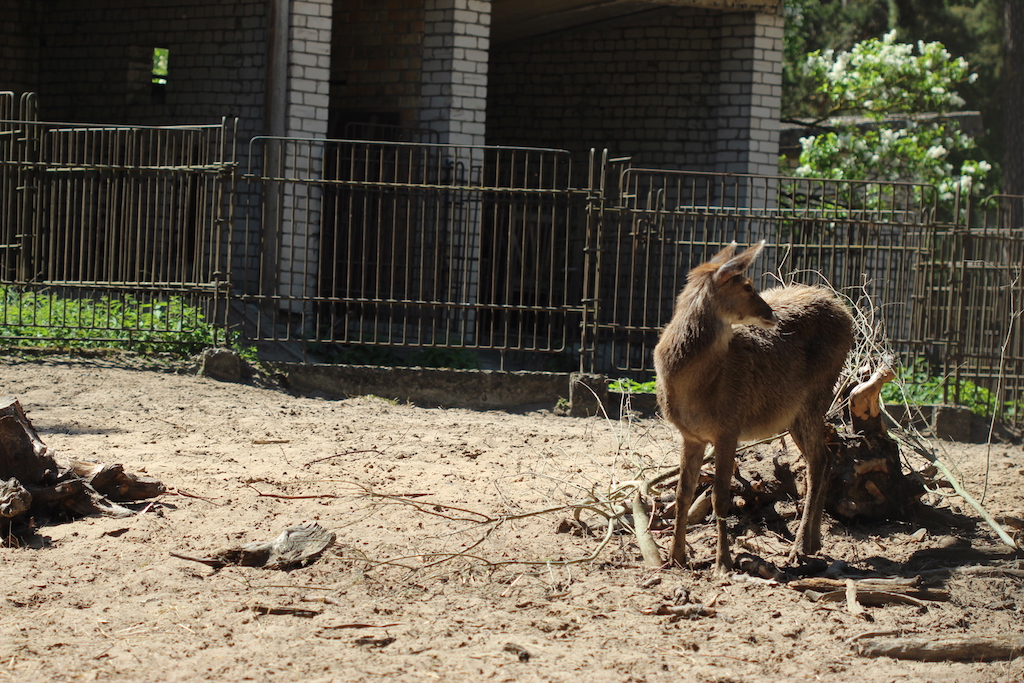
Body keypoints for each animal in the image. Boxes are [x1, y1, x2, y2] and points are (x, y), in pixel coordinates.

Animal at [654, 241, 853, 574]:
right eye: (747, 286)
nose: (770, 313)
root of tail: (846, 312)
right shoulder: (690, 435)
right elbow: (682, 495)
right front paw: (675, 558)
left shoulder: (729, 426)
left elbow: (720, 497)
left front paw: (723, 563)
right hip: (793, 412)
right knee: (823, 458)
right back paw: (812, 542)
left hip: (817, 394)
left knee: (818, 460)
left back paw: (799, 548)